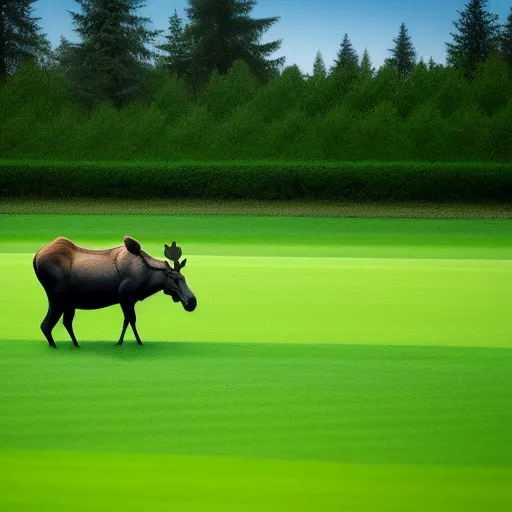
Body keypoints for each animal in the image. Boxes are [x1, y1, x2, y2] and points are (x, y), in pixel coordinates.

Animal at [32, 236, 196, 348]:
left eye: (184, 278)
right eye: (175, 279)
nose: (192, 302)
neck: (149, 279)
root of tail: (35, 257)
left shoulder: (128, 300)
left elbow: (128, 320)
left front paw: (125, 341)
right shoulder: (126, 298)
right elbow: (130, 320)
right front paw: (134, 342)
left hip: (68, 303)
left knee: (65, 323)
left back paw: (76, 345)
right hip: (57, 299)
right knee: (46, 325)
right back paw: (55, 347)